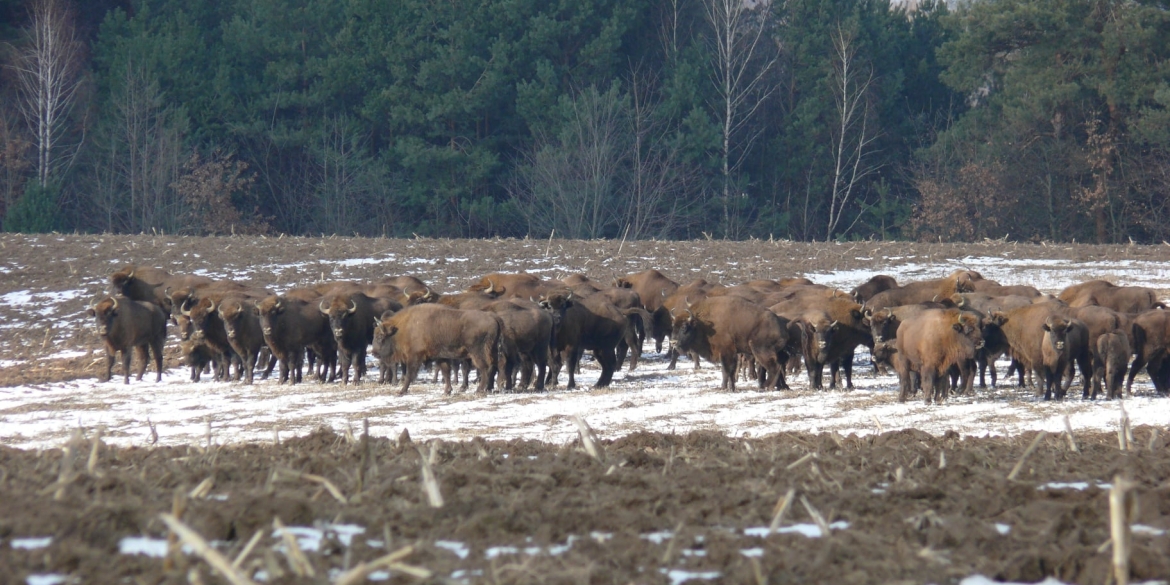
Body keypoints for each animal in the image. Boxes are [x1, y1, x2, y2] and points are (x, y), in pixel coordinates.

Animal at [374, 304, 503, 395]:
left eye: (380, 337)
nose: (374, 353)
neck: (402, 328)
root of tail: (492, 316)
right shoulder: (440, 357)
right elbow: (445, 372)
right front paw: (447, 391)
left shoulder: (414, 356)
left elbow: (409, 374)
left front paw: (401, 391)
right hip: (492, 350)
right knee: (494, 366)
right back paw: (490, 389)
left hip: (477, 352)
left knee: (485, 367)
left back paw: (479, 390)